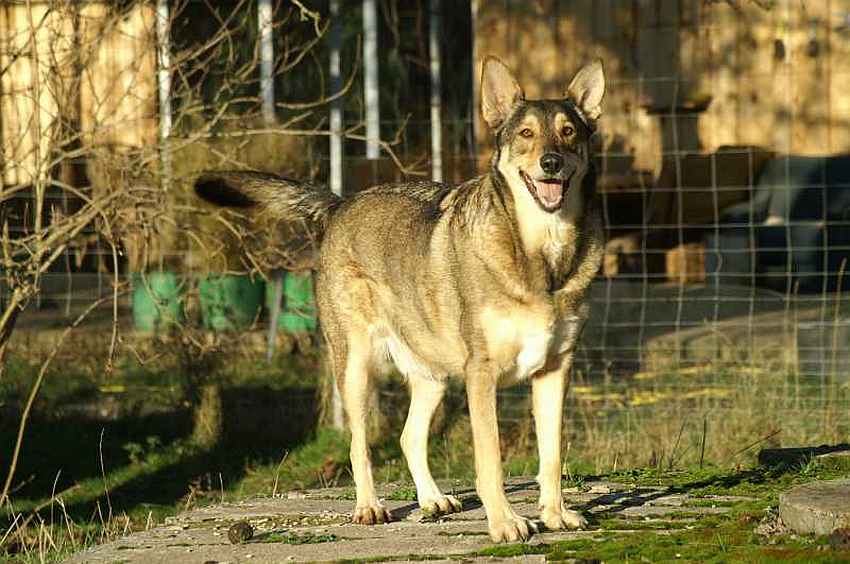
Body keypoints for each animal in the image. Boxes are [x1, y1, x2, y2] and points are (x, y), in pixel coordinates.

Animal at [194, 56, 605, 543]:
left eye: (569, 131)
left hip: (434, 376)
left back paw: (432, 500)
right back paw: (369, 507)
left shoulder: (555, 370)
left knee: (409, 437)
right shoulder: (482, 375)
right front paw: (505, 522)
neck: (543, 251)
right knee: (360, 445)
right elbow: (490, 461)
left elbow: (552, 456)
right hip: (356, 370)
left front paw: (556, 515)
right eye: (526, 133)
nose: (551, 163)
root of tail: (341, 202)